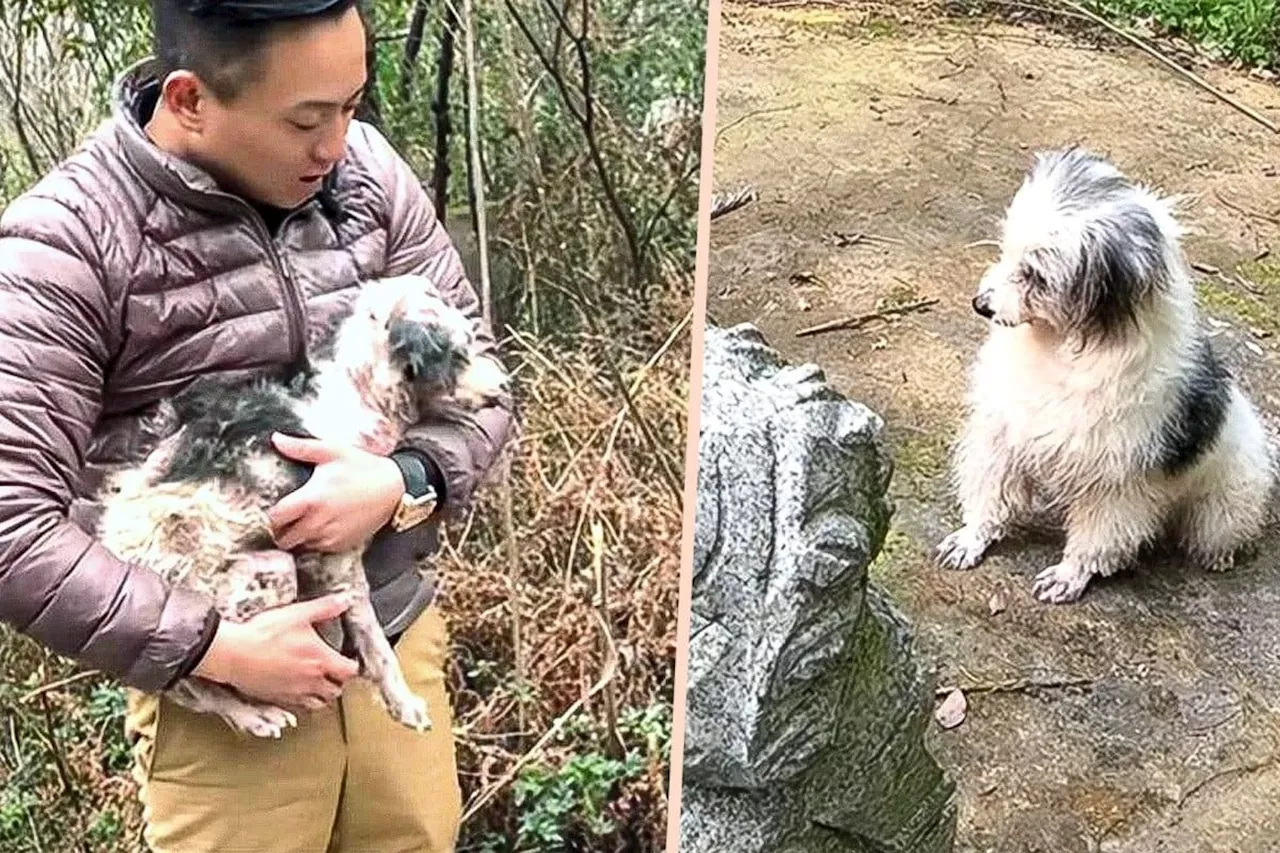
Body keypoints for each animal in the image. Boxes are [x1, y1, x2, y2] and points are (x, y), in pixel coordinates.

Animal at [97, 270, 506, 732]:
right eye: (461, 350)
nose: (505, 385)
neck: (359, 393)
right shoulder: (341, 558)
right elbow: (376, 644)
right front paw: (402, 704)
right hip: (264, 576)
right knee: (193, 685)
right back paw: (255, 715)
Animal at [936, 146, 1274, 601]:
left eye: (1036, 276)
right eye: (1008, 251)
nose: (981, 304)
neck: (1061, 351)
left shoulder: (1116, 485)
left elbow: (1096, 539)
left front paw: (1069, 575)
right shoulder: (1003, 436)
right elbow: (991, 497)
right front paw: (971, 537)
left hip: (1222, 508)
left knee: (1219, 531)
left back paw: (1220, 555)